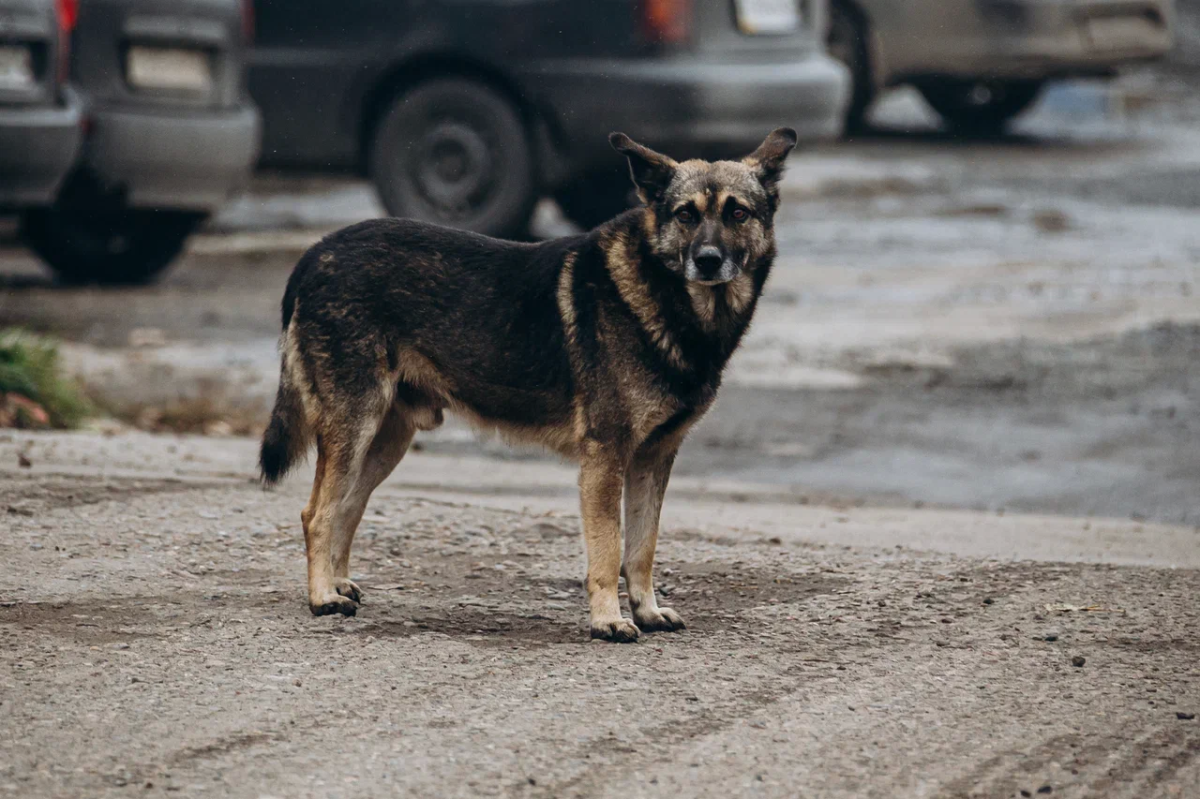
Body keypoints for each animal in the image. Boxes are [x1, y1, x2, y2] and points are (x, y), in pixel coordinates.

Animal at [265, 128, 796, 643]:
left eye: (738, 213)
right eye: (686, 215)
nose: (707, 260)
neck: (668, 301)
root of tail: (316, 252)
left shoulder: (654, 459)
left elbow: (642, 549)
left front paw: (646, 610)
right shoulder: (606, 458)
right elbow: (608, 551)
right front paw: (608, 620)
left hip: (386, 440)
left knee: (347, 507)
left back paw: (336, 583)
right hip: (355, 427)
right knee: (318, 514)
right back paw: (321, 597)